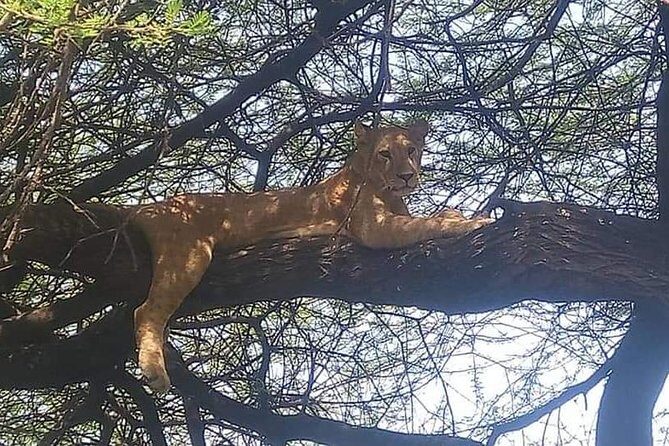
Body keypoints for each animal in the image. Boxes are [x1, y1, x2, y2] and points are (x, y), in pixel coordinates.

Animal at [130, 120, 493, 393]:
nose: (407, 176)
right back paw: (155, 372)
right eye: (385, 155)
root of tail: (149, 207)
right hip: (187, 253)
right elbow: (426, 223)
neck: (382, 187)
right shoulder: (376, 228)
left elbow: (431, 215)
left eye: (412, 151)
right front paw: (472, 222)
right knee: (146, 310)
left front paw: (457, 214)